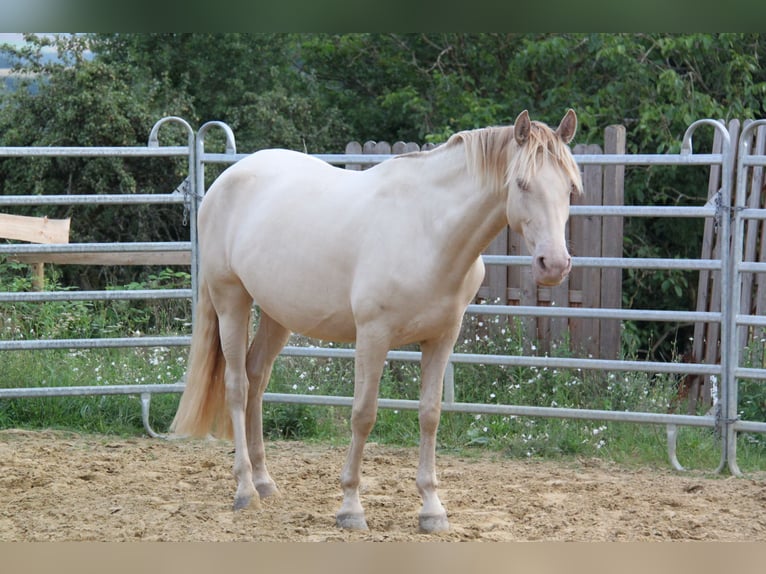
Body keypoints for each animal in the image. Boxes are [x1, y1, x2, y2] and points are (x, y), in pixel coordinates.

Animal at [171, 109, 584, 536]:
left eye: (571, 187)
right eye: (521, 183)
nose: (554, 265)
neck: (428, 231)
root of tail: (224, 181)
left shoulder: (441, 339)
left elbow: (430, 415)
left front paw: (431, 509)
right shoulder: (373, 336)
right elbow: (363, 415)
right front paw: (351, 507)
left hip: (275, 314)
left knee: (256, 379)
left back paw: (265, 481)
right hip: (231, 300)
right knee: (237, 386)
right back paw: (244, 489)